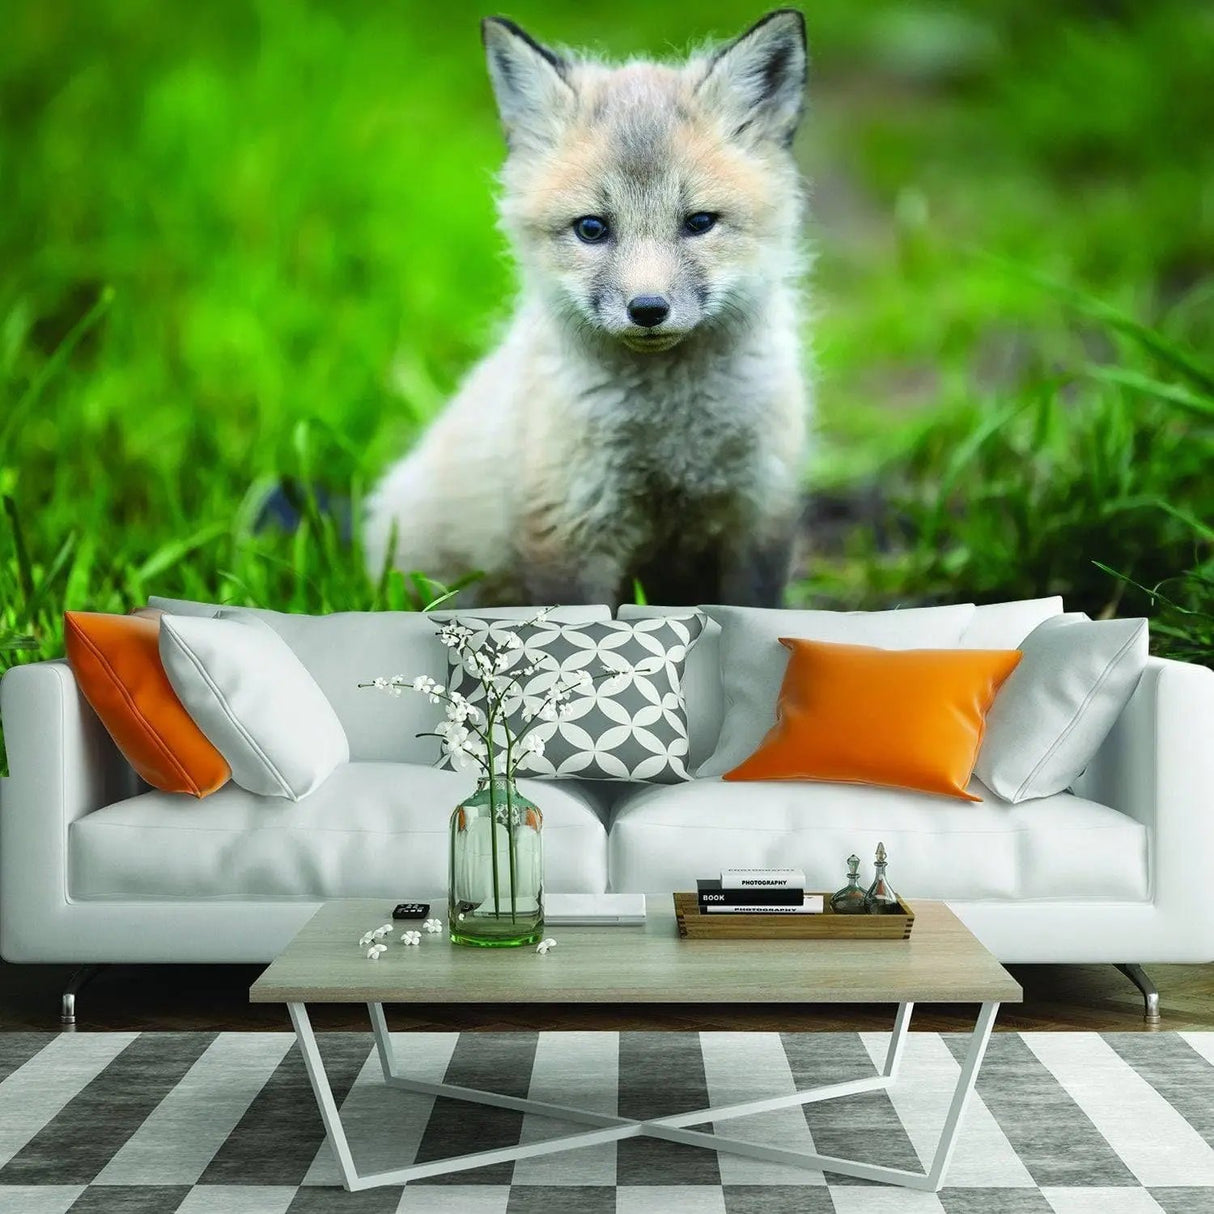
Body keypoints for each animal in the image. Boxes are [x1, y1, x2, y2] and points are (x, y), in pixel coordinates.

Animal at [364, 10, 811, 608]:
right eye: (592, 229)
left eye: (699, 222)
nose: (648, 308)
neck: (671, 435)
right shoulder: (569, 529)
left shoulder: (760, 514)